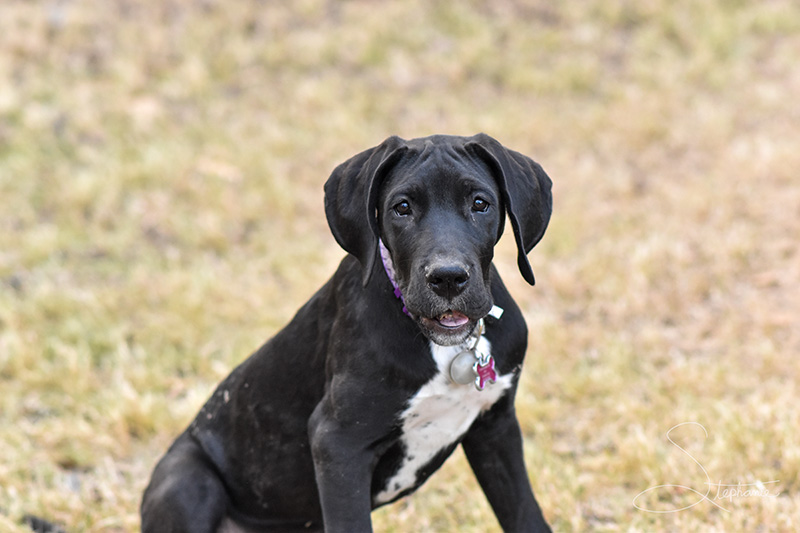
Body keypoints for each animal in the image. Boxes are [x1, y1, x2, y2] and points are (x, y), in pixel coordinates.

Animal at [141, 131, 552, 528]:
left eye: (480, 203)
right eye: (402, 208)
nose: (448, 278)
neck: (447, 348)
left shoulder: (496, 428)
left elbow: (525, 515)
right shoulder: (337, 442)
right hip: (187, 481)